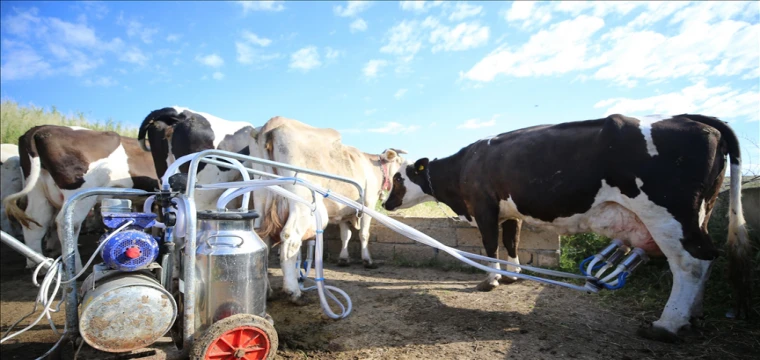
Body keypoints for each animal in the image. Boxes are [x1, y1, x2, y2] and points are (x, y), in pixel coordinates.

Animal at [2, 125, 160, 268]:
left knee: (36, 222)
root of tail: (40, 129)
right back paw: (75, 265)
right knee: (68, 222)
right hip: (80, 192)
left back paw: (36, 263)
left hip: (38, 191)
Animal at [251, 116, 406, 306]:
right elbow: (364, 233)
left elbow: (345, 235)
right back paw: (294, 292)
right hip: (301, 202)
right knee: (289, 238)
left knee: (263, 241)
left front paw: (344, 258)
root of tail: (274, 122)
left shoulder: (345, 211)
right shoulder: (368, 203)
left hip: (262, 200)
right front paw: (368, 260)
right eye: (400, 162)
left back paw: (267, 292)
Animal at [382, 114, 752, 344]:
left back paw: (667, 324)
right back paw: (692, 317)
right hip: (701, 213)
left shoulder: (484, 208)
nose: (385, 204)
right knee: (705, 259)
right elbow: (512, 242)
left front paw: (491, 280)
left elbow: (490, 246)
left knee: (690, 263)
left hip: (667, 214)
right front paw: (514, 274)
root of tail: (693, 118)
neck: (463, 170)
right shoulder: (510, 212)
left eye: (398, 179)